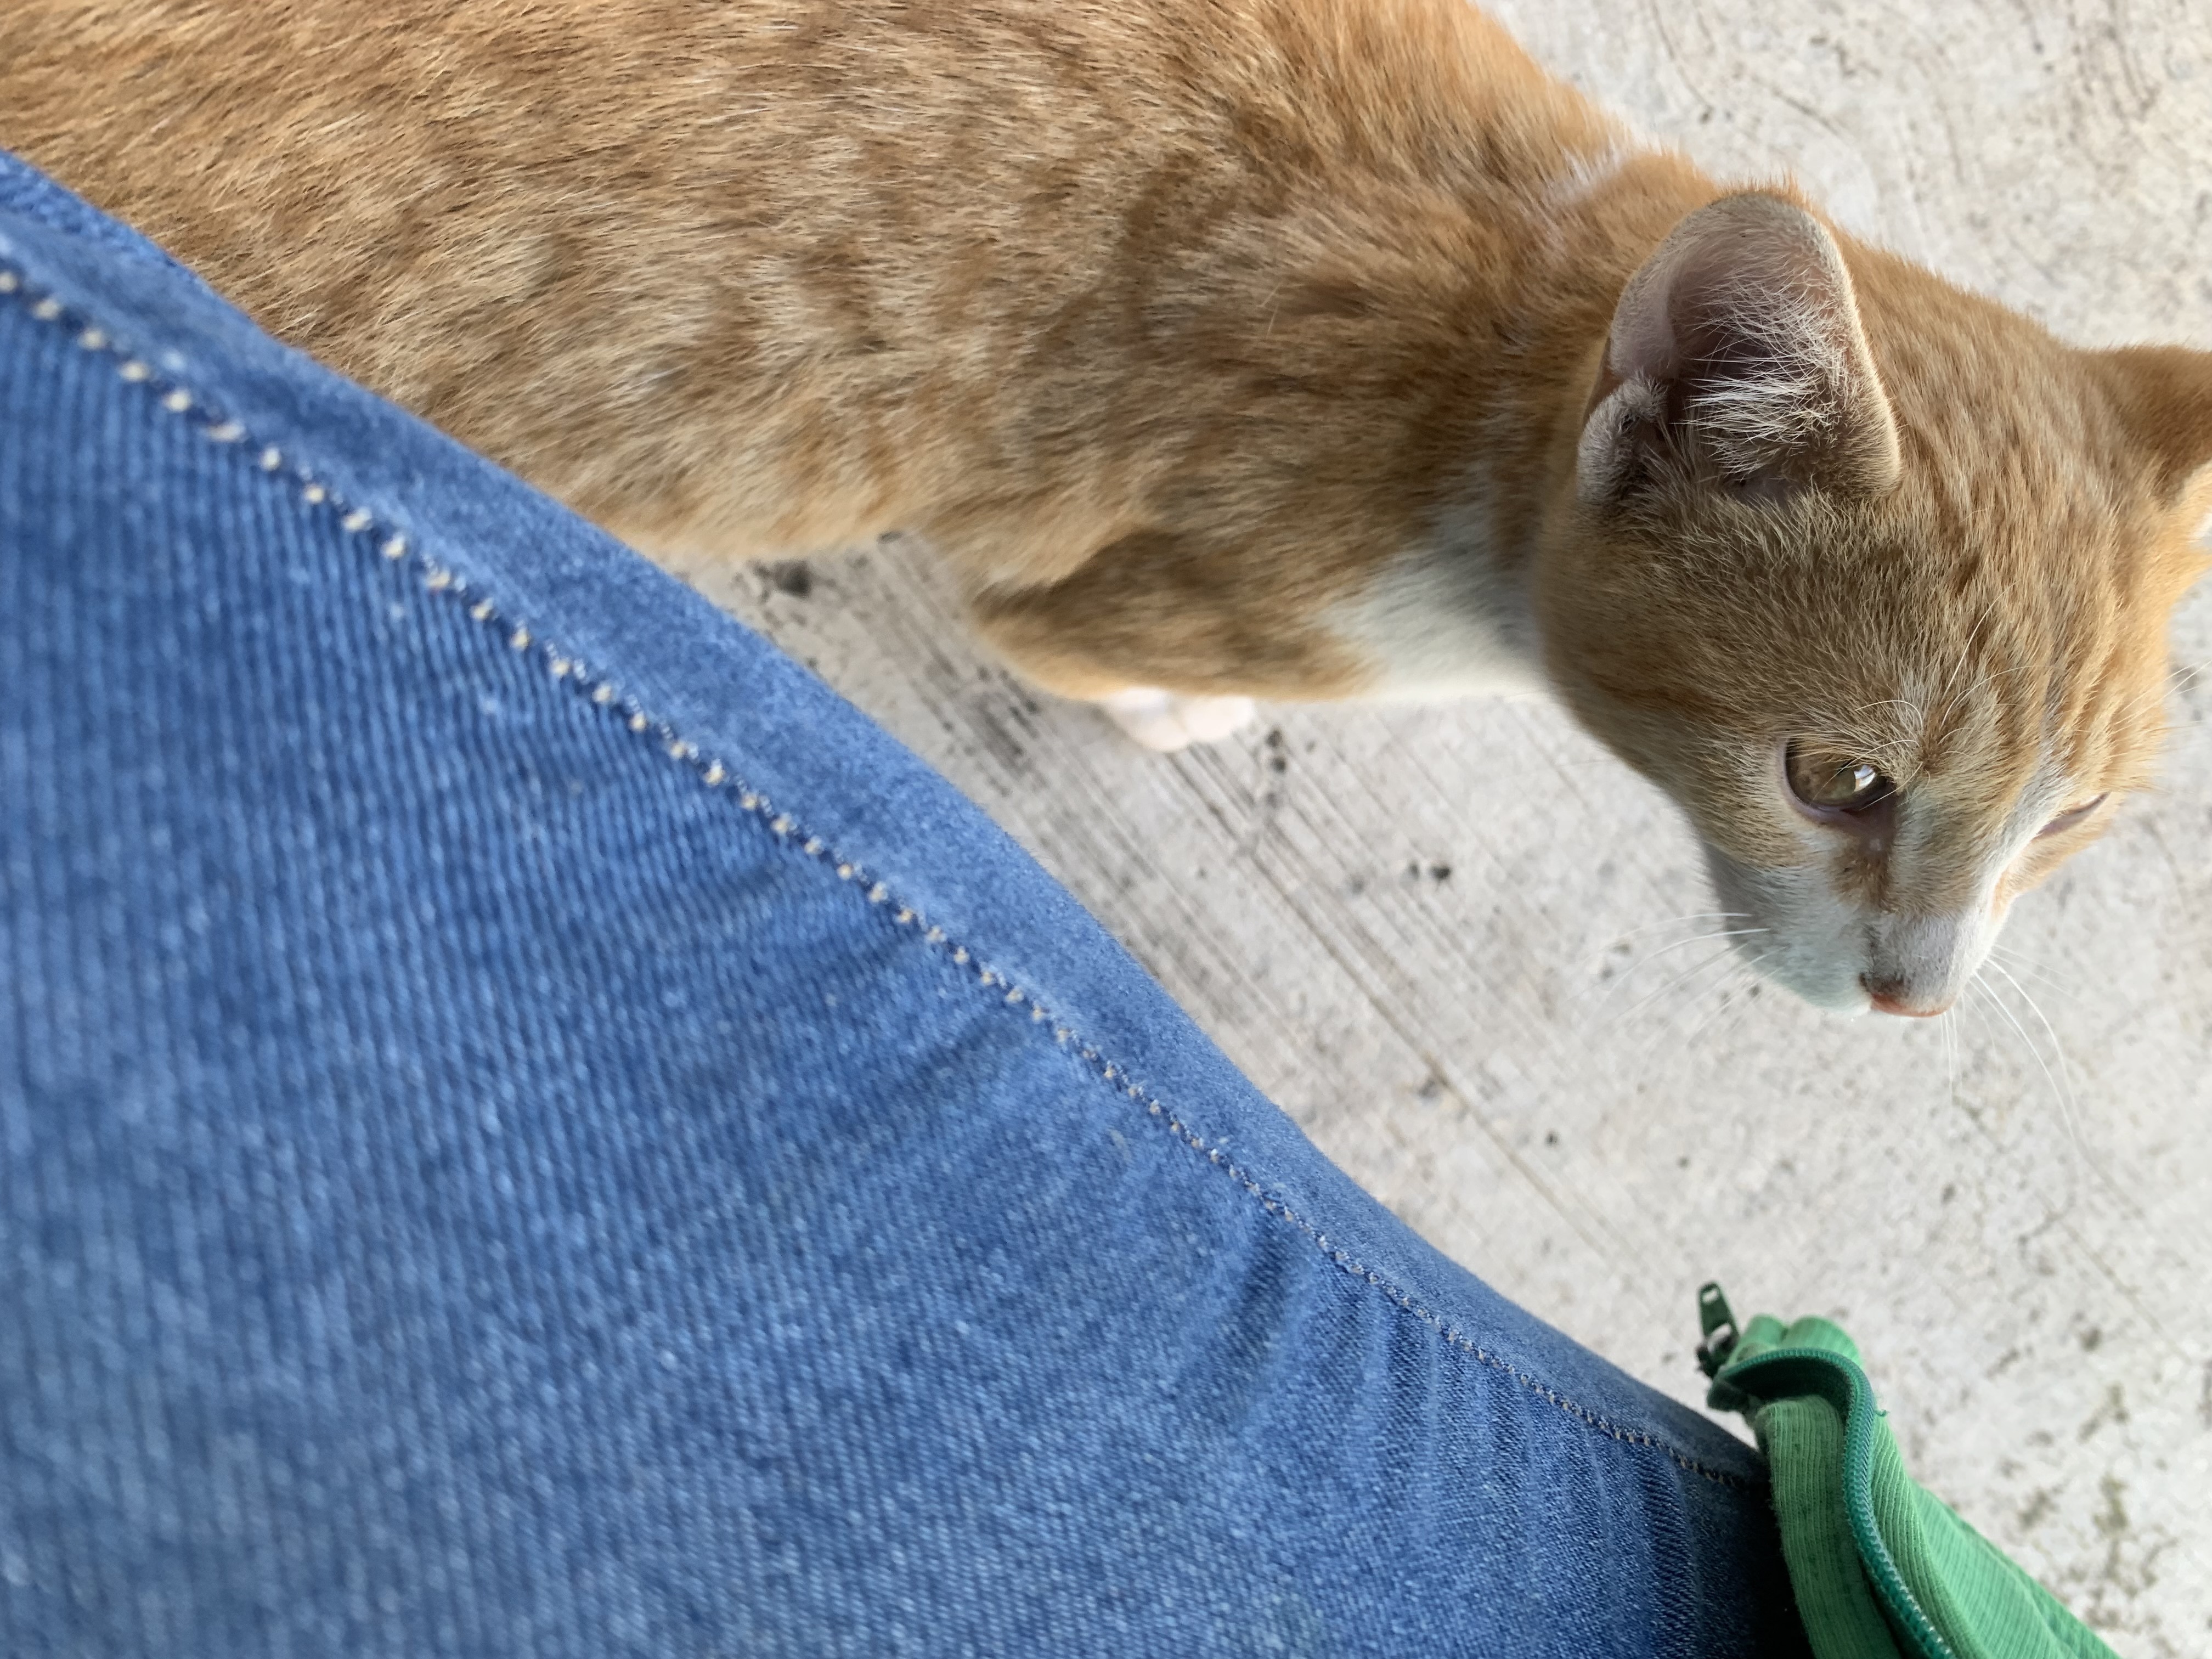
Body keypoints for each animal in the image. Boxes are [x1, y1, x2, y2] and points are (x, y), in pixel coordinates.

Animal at [4, 0, 2212, 1022]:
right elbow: (1106, 653)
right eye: (1834, 780)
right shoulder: (1151, 590)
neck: (1512, 330)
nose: (1919, 998)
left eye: (2073, 821)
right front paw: (1175, 714)